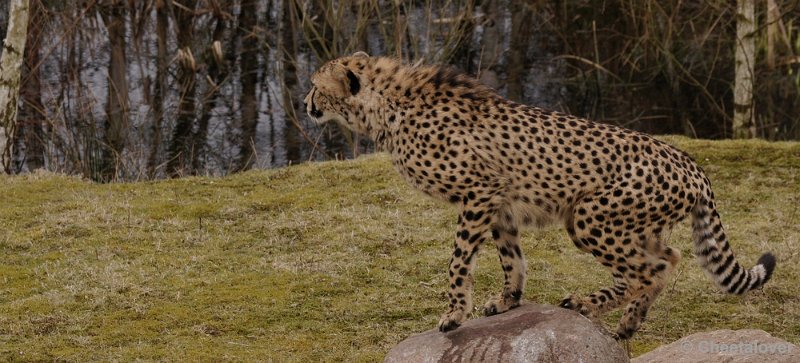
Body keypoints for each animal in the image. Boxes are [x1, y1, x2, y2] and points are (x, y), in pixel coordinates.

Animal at [304, 52, 780, 342]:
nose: (305, 103)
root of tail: (689, 160)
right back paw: (613, 316)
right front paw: (506, 301)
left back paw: (603, 312)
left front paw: (455, 314)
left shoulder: (478, 194)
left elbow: (458, 261)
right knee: (666, 259)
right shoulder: (498, 202)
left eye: (314, 84)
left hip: (590, 217)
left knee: (652, 269)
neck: (389, 109)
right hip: (630, 224)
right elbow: (511, 258)